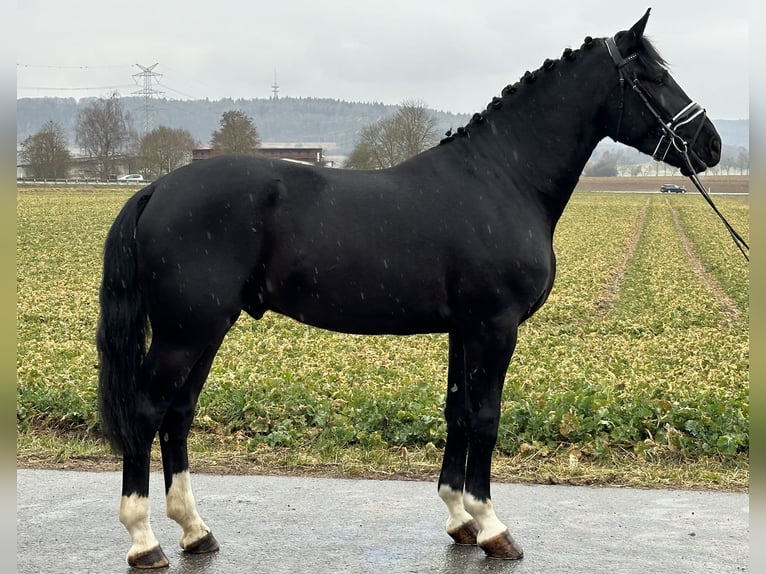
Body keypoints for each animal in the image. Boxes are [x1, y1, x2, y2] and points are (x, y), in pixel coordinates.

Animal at [97, 10, 720, 572]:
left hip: (205, 329)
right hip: (184, 332)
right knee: (147, 411)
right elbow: (486, 416)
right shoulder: (494, 326)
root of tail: (157, 188)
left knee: (178, 414)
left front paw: (460, 519)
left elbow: (457, 413)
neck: (501, 179)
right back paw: (144, 541)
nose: (709, 145)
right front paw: (493, 528)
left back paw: (196, 531)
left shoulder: (464, 329)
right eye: (652, 78)